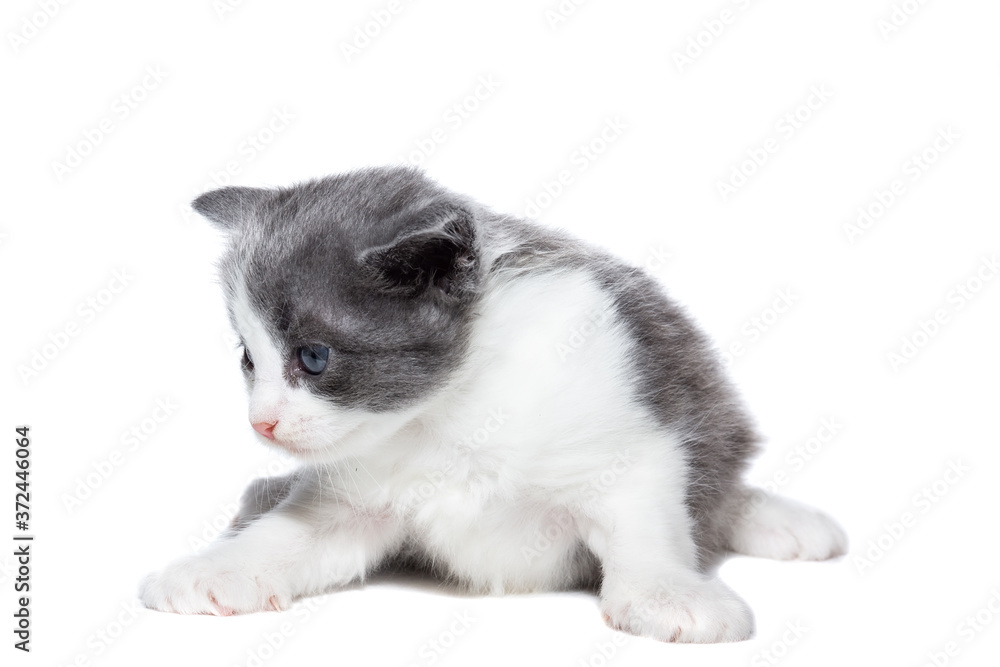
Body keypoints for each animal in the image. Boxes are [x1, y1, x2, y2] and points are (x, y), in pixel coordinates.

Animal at [139, 166, 844, 640]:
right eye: (247, 360)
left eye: (313, 358)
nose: (262, 423)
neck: (447, 413)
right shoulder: (354, 494)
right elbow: (295, 532)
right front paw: (224, 567)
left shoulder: (626, 430)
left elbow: (644, 522)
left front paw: (667, 593)